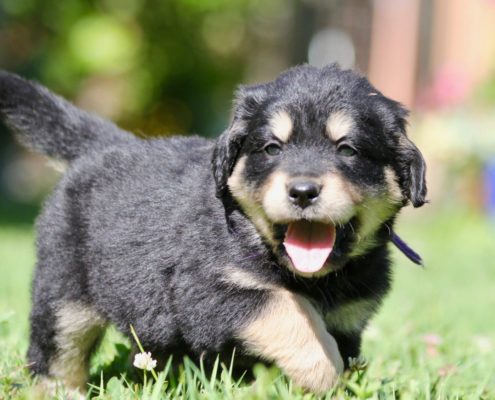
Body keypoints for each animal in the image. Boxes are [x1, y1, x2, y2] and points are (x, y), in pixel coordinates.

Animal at [0, 65, 426, 394]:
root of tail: (102, 147)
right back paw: (56, 390)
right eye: (272, 148)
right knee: (58, 350)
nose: (303, 191)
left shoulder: (349, 318)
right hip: (64, 289)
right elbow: (291, 313)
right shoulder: (212, 289)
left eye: (347, 150)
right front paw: (322, 374)